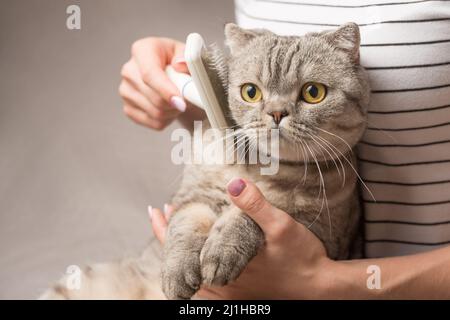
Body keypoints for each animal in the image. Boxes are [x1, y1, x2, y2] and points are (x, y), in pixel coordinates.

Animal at [41, 22, 370, 300]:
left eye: (313, 92)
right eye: (251, 92)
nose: (276, 113)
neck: (256, 169)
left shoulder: (317, 230)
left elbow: (248, 215)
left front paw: (222, 250)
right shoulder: (193, 197)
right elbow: (185, 225)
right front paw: (178, 271)